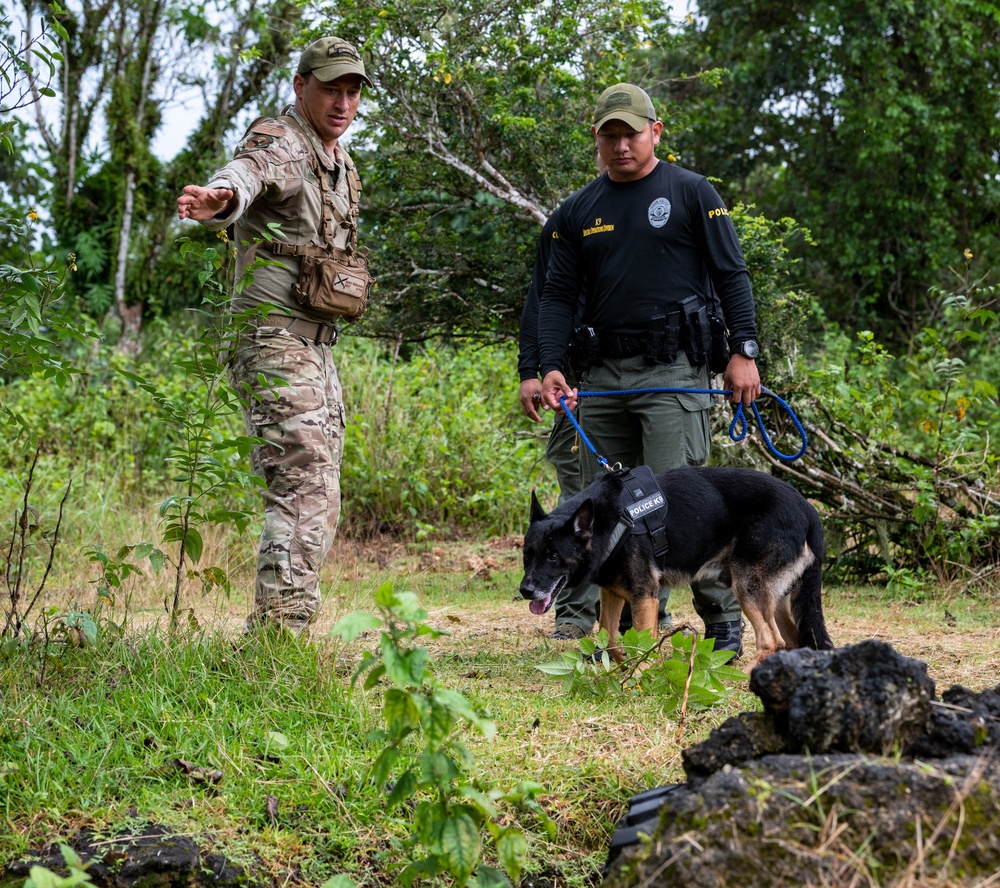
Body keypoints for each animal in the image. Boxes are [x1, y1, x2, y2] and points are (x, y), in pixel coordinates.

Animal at [520, 464, 832, 664]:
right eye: (527, 555)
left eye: (553, 556)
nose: (525, 591)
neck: (609, 521)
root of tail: (808, 508)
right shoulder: (613, 592)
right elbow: (609, 637)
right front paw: (621, 663)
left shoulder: (645, 597)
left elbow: (639, 642)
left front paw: (638, 677)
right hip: (774, 598)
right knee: (792, 641)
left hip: (748, 588)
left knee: (772, 641)